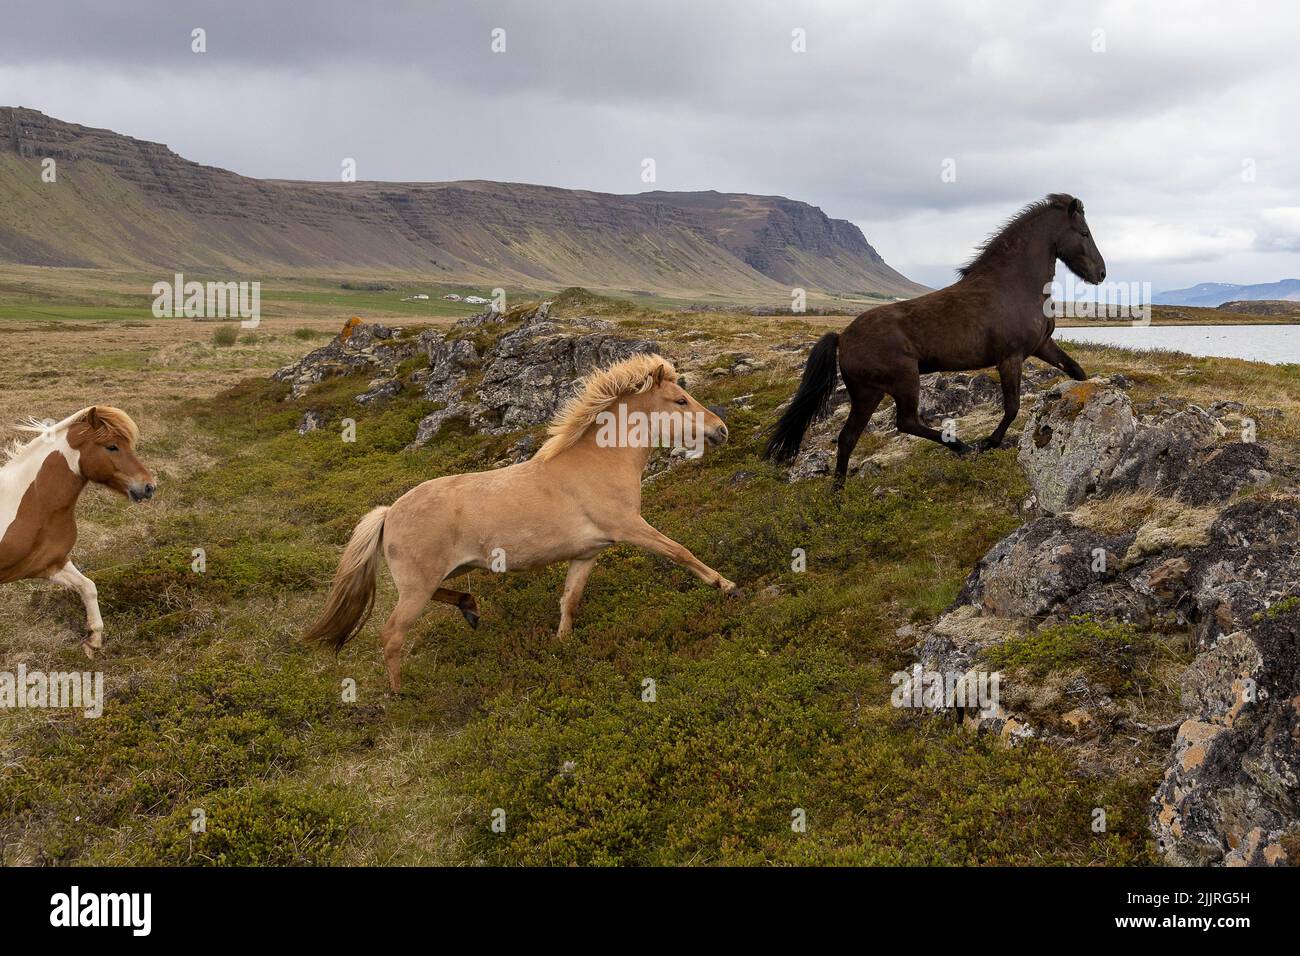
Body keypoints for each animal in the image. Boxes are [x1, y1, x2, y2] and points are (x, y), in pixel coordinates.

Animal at [0, 406, 156, 657]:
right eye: (112, 446)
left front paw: (94, 640)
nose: (149, 487)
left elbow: (88, 586)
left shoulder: (49, 563)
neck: (30, 502)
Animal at [305, 352, 738, 691]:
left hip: (437, 575)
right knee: (392, 635)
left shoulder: (589, 553)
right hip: (416, 587)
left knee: (442, 597)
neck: (598, 465)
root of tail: (388, 512)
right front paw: (726, 586)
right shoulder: (630, 527)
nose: (722, 430)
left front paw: (562, 644)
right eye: (680, 400)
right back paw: (400, 694)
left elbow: (570, 600)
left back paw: (471, 608)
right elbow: (679, 551)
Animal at [764, 193, 1106, 485]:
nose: (1101, 273)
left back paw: (838, 493)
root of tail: (842, 336)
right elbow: (1011, 407)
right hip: (903, 380)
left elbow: (1077, 372)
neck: (1014, 285)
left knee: (849, 437)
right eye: (1084, 233)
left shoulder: (1041, 346)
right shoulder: (1010, 359)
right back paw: (962, 447)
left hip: (868, 393)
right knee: (905, 422)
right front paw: (990, 442)